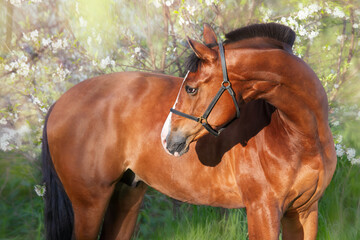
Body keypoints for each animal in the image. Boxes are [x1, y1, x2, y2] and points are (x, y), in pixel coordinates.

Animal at [42, 23, 338, 240]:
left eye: (191, 88)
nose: (167, 139)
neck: (299, 135)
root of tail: (59, 102)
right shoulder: (262, 211)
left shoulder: (304, 212)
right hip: (89, 204)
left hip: (127, 194)